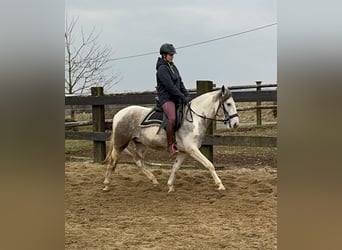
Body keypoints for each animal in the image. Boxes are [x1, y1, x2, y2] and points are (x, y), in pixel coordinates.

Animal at [103, 85, 239, 192]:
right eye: (228, 104)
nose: (236, 124)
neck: (194, 118)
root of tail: (118, 114)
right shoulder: (192, 149)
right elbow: (209, 165)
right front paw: (220, 185)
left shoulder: (184, 152)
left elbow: (175, 168)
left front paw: (170, 186)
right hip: (120, 144)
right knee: (112, 162)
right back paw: (106, 185)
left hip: (140, 144)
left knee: (138, 161)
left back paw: (154, 181)